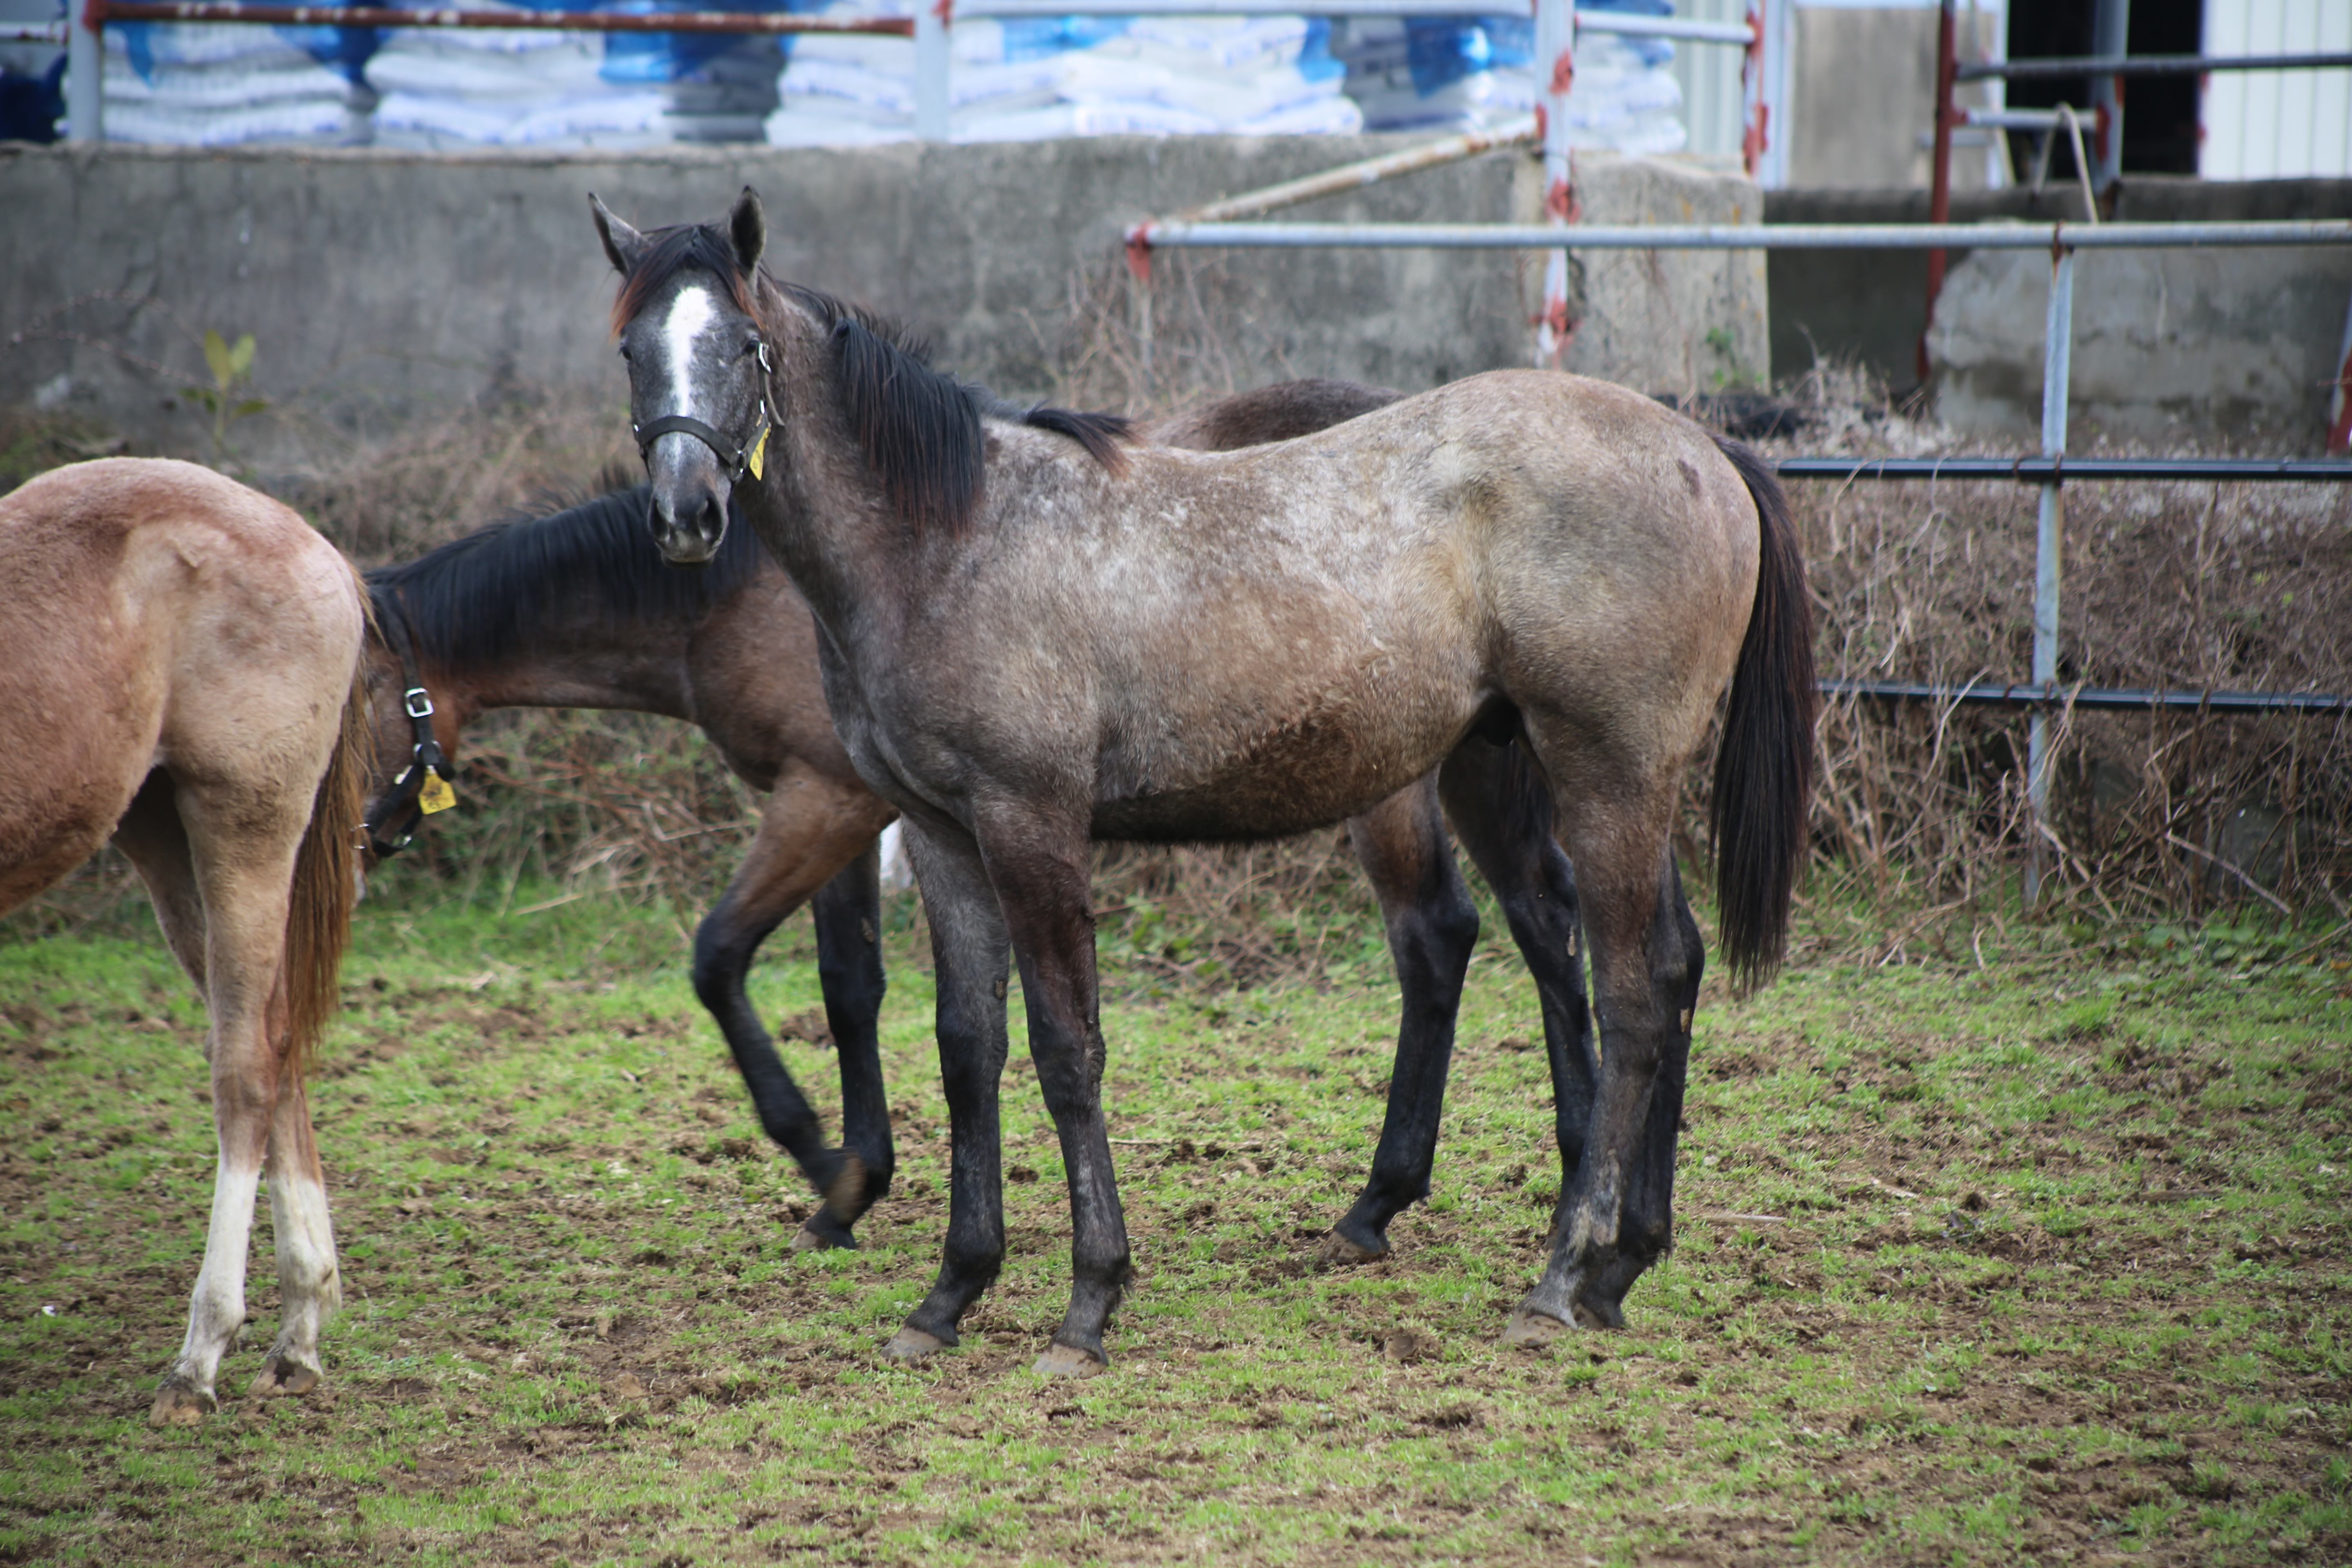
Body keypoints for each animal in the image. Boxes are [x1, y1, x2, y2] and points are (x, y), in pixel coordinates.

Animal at [0, 454, 369, 1420]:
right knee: (275, 1037)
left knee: (246, 1065)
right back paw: (298, 1332)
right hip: (160, 830)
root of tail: (311, 543)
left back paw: (200, 1358)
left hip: (241, 821)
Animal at [353, 374, 1599, 1269]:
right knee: (1496, 929)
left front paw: (826, 1163)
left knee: (1448, 935)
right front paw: (855, 1184)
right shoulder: (858, 810)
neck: (748, 587)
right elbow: (851, 987)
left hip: (1393, 782)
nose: (354, 847)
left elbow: (722, 956)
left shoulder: (828, 800)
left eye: (348, 694)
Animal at [588, 190, 1815, 1382]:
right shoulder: (940, 834)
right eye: (632, 350)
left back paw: (1559, 1282)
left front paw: (1087, 1306)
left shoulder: (1031, 824)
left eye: (743, 343)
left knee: (1631, 994)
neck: (949, 540)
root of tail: (1701, 447)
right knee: (1666, 962)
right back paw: (1622, 1262)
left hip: (1603, 776)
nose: (687, 515)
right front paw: (948, 1295)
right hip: (1565, 774)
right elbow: (966, 1050)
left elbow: (1066, 1050)